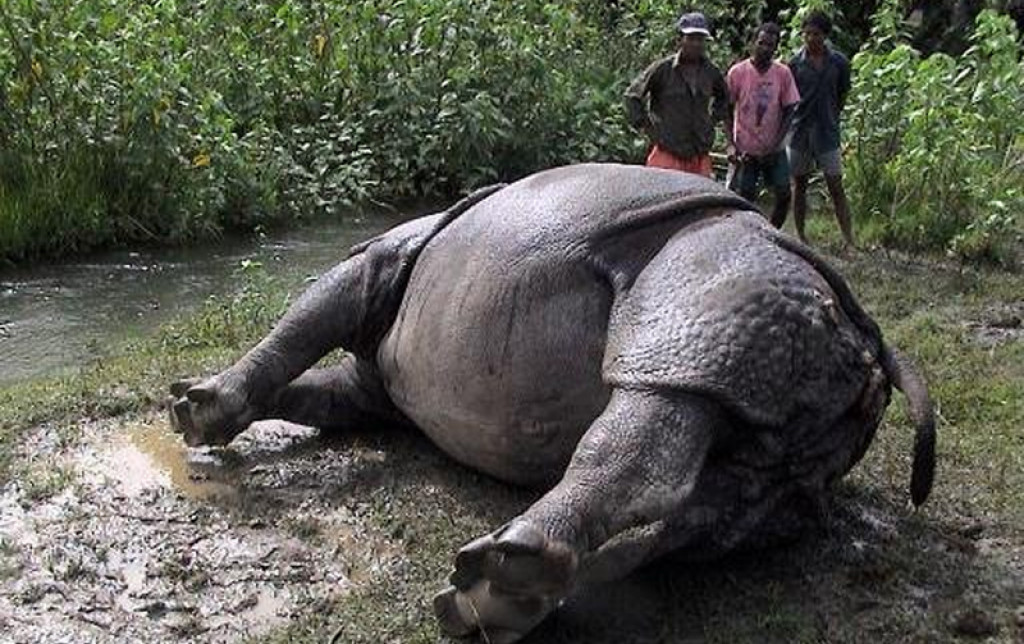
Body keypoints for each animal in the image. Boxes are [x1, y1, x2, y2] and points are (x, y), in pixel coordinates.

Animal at [168, 163, 935, 643]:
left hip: (718, 282)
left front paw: (196, 407)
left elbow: (304, 321)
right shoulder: (373, 393)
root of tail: (867, 342)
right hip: (782, 373)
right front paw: (195, 401)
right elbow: (314, 388)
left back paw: (495, 579)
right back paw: (496, 600)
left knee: (658, 397)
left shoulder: (377, 262)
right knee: (720, 502)